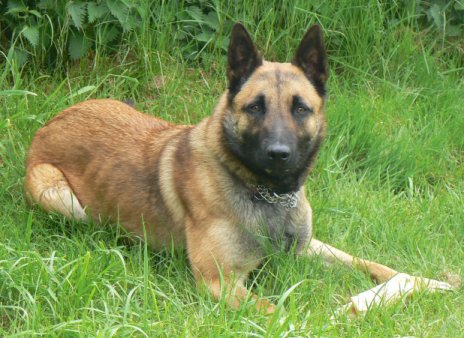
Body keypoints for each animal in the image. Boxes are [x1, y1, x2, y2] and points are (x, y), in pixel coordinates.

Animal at [22, 24, 450, 316]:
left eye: (300, 108)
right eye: (255, 106)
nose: (279, 154)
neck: (267, 194)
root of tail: (48, 124)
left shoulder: (306, 246)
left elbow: (374, 264)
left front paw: (425, 282)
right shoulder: (222, 283)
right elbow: (295, 315)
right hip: (61, 198)